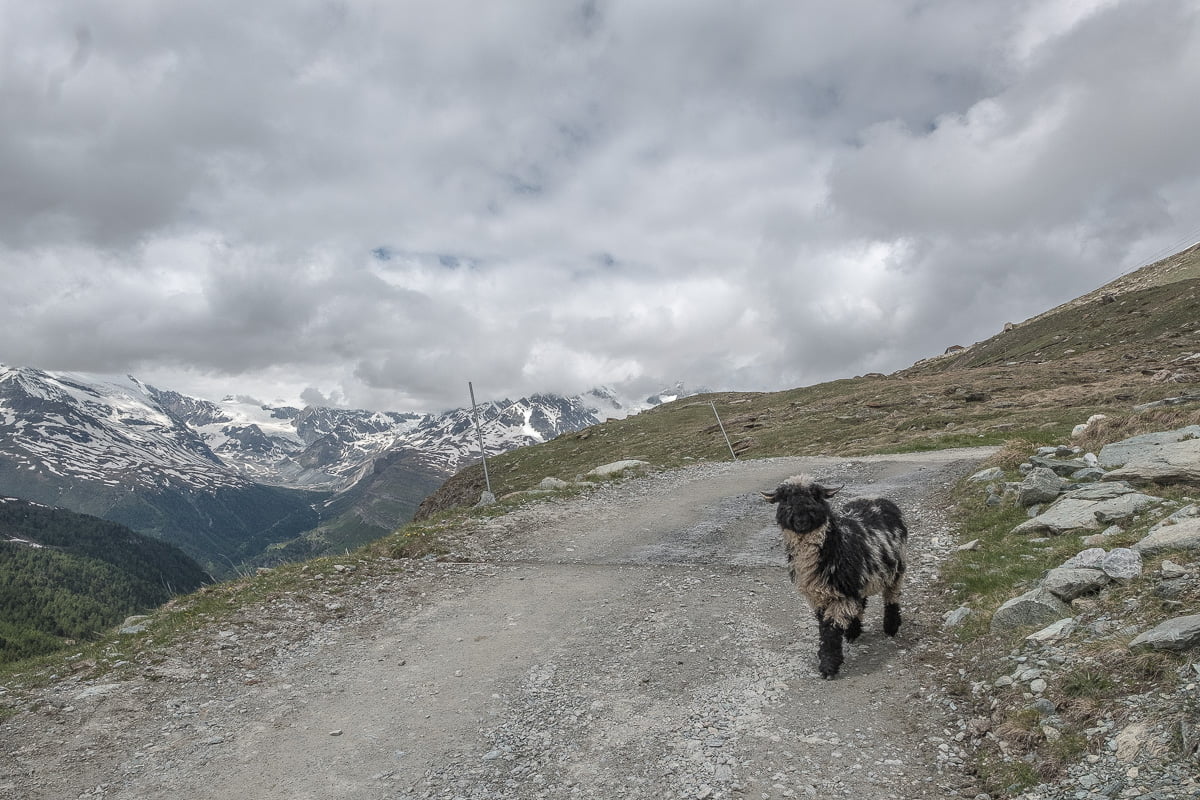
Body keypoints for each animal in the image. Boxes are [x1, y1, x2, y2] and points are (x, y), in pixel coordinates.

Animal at [758, 474, 907, 681]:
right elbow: (825, 627)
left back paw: (891, 627)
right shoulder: (821, 596)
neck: (835, 545)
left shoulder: (840, 595)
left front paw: (829, 666)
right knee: (861, 602)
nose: (801, 519)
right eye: (785, 498)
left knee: (892, 596)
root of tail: (874, 497)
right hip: (859, 579)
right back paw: (853, 632)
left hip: (896, 568)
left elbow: (830, 630)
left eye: (815, 496)